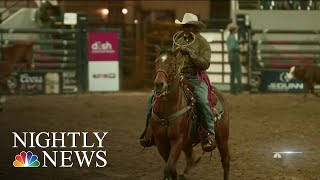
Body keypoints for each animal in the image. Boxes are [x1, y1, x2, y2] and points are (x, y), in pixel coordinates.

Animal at [150, 45, 230, 179]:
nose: (159, 84)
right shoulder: (161, 143)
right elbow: (172, 170)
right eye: (156, 62)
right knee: (191, 159)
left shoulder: (177, 141)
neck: (167, 110)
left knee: (226, 161)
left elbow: (168, 169)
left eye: (172, 64)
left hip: (222, 138)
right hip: (188, 144)